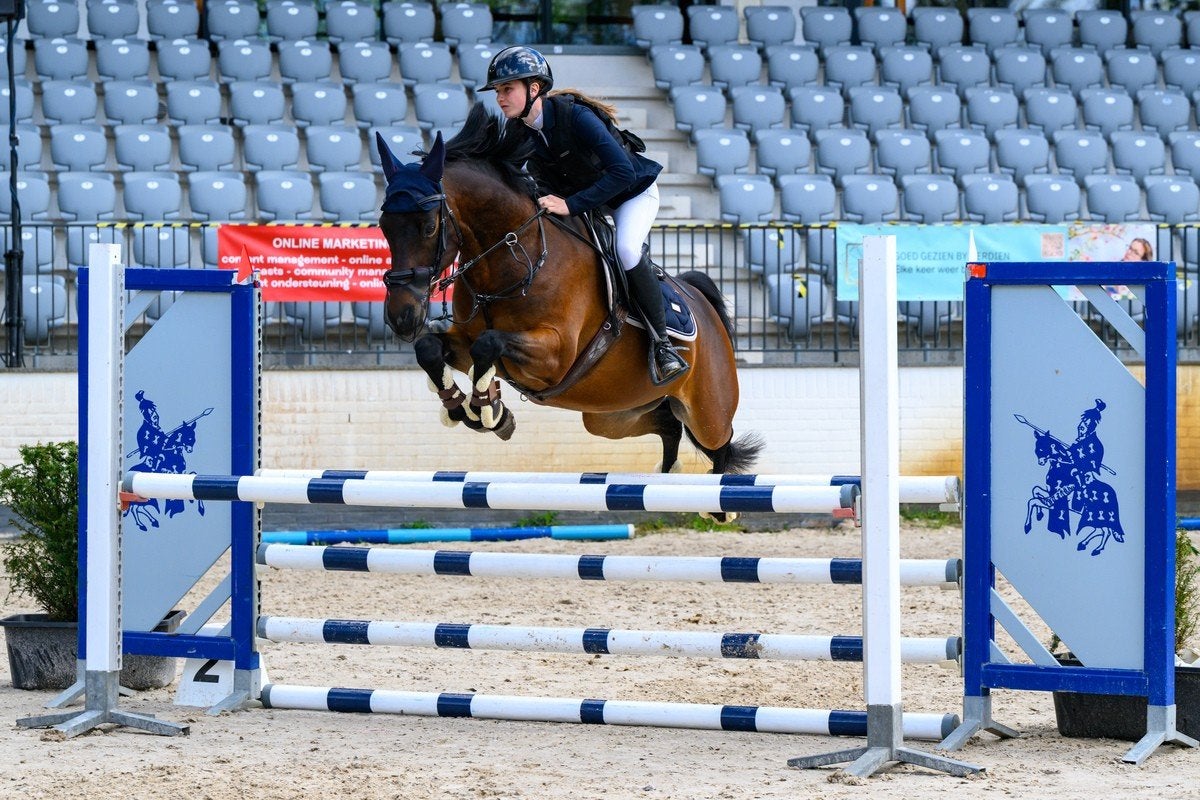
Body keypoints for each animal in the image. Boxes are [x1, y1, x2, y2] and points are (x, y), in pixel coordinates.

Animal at [374, 104, 761, 478]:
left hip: (708, 410)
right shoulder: (465, 341)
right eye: (384, 226)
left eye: (428, 226)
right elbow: (430, 348)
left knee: (720, 445)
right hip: (612, 414)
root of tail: (701, 302)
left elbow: (490, 343)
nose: (401, 316)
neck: (514, 257)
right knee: (667, 424)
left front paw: (488, 409)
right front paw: (469, 409)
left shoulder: (555, 355)